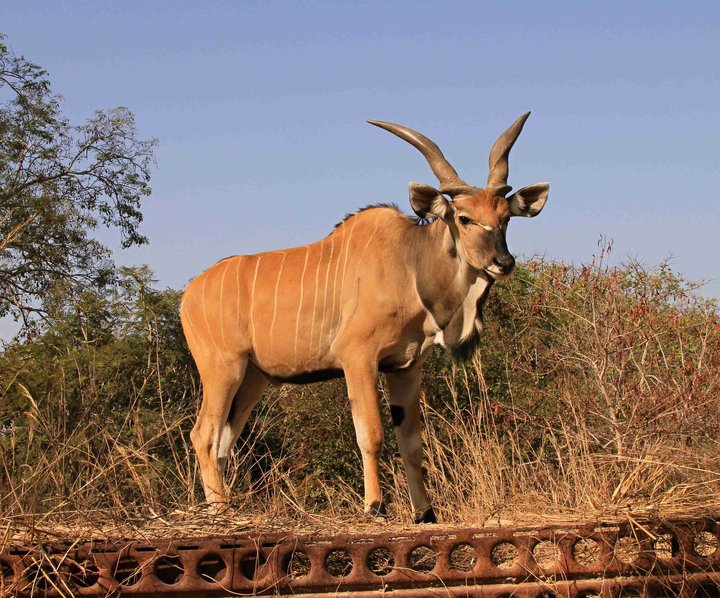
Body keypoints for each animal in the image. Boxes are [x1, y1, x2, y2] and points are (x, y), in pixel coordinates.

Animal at [183, 113, 548, 524]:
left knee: (223, 442)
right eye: (464, 217)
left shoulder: (406, 367)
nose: (503, 262)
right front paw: (375, 505)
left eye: (505, 218)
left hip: (252, 379)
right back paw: (219, 511)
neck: (409, 261)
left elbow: (411, 442)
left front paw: (425, 513)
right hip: (222, 368)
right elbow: (371, 434)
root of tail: (188, 294)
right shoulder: (358, 357)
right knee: (204, 435)